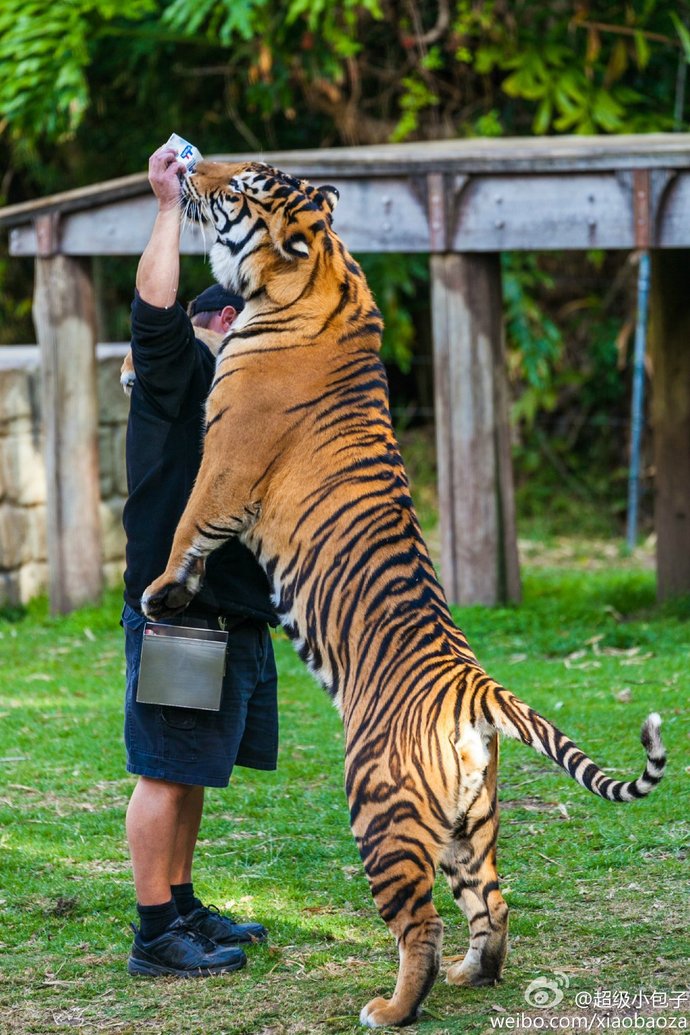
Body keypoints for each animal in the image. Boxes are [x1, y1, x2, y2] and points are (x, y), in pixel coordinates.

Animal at [142, 159, 666, 1026]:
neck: (317, 271)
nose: (189, 168)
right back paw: (471, 975)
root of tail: (476, 687)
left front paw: (160, 595)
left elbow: (185, 530)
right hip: (471, 824)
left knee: (417, 924)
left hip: (378, 808)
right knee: (494, 904)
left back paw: (392, 1007)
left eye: (239, 185)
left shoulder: (225, 464)